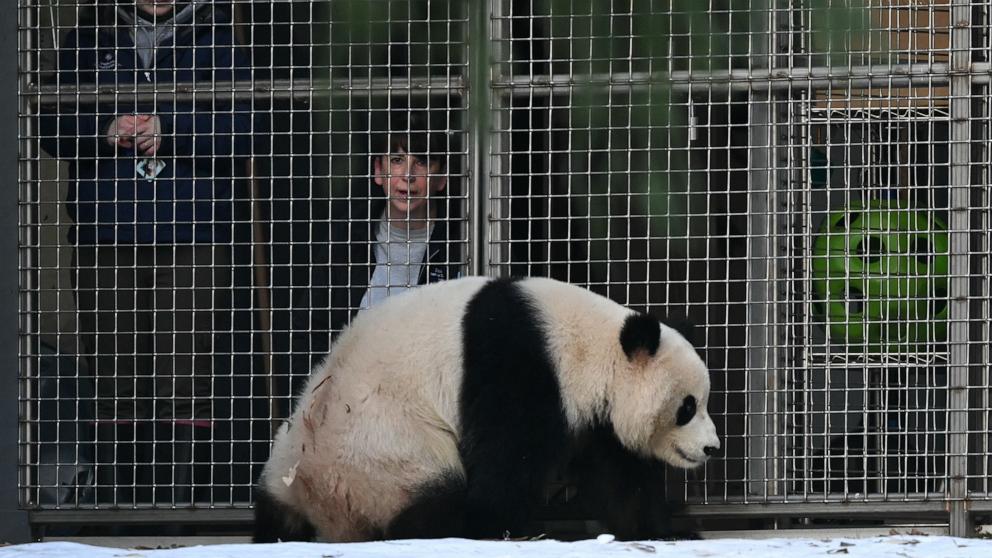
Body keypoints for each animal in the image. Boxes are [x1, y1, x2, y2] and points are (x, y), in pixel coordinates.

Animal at [254, 278, 720, 544]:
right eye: (687, 407)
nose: (711, 448)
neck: (589, 343)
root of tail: (322, 507)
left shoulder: (594, 415)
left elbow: (620, 475)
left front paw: (670, 532)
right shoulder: (520, 363)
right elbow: (510, 456)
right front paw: (509, 528)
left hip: (290, 463)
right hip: (382, 452)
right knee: (431, 496)